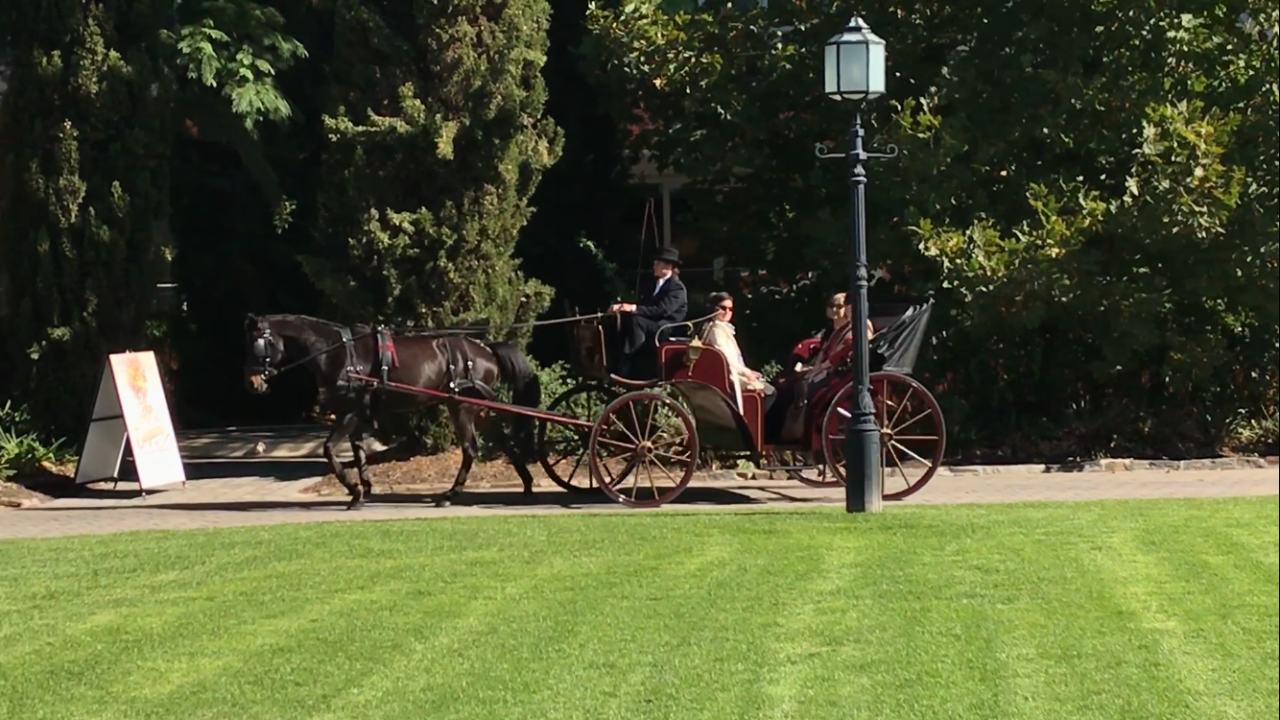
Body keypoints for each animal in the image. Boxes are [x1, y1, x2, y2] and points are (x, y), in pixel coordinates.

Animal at [243, 311, 540, 507]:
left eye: (258, 343)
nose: (253, 382)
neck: (340, 354)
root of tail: (486, 350)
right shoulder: (355, 415)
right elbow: (359, 454)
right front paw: (362, 491)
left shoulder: (349, 414)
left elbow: (329, 450)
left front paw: (353, 490)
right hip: (478, 408)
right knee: (503, 441)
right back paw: (526, 483)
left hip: (462, 407)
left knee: (470, 449)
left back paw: (450, 494)